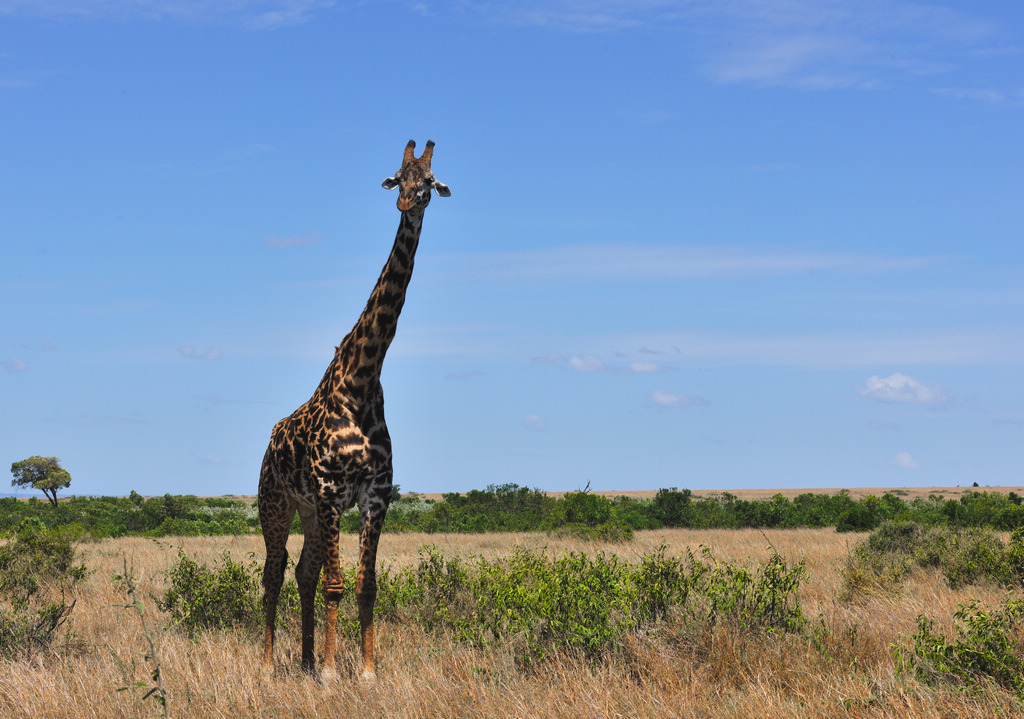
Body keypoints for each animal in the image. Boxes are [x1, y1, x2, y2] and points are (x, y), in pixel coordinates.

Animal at [258, 139, 450, 680]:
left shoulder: (374, 494)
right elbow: (336, 584)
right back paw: (267, 663)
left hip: (306, 512)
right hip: (275, 504)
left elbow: (364, 585)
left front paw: (364, 671)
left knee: (302, 572)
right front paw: (329, 673)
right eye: (397, 177)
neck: (362, 381)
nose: (408, 203)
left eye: (430, 182)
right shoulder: (329, 490)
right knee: (273, 573)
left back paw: (302, 660)